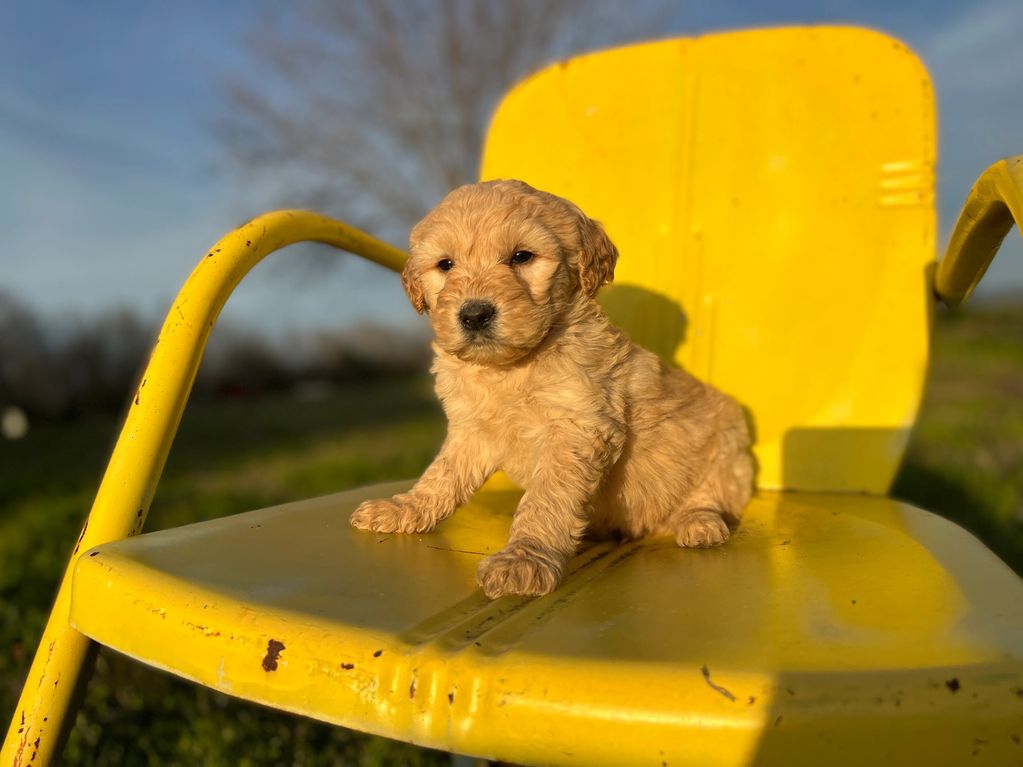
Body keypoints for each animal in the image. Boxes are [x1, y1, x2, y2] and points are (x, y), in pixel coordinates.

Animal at [349, 179, 752, 601]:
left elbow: (546, 499)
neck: (510, 368)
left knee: (712, 493)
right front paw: (405, 509)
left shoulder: (576, 429)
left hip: (727, 448)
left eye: (521, 256)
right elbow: (440, 476)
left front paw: (523, 559)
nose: (474, 314)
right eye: (446, 264)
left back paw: (699, 521)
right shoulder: (472, 431)